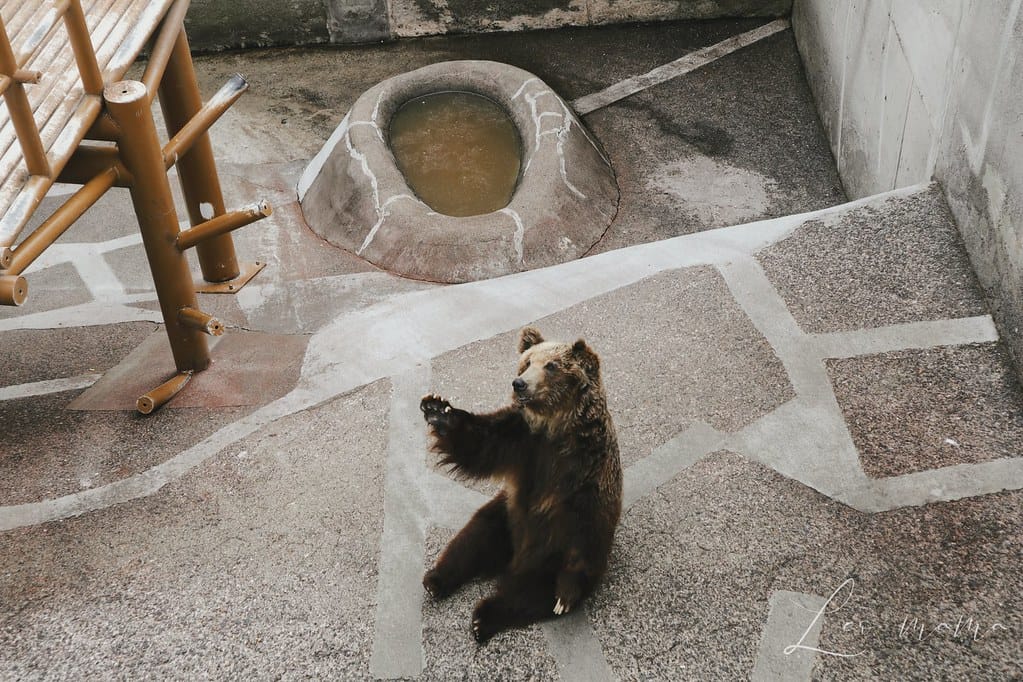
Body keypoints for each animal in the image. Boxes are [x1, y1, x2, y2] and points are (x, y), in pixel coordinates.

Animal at [420, 325, 622, 643]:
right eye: (527, 362)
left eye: (551, 366)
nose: (519, 384)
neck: (557, 428)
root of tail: (512, 558)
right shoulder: (520, 439)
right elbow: (477, 443)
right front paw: (437, 409)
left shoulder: (587, 468)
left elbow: (585, 520)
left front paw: (566, 593)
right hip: (505, 515)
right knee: (473, 537)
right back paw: (437, 579)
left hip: (547, 551)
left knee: (528, 592)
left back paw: (485, 617)